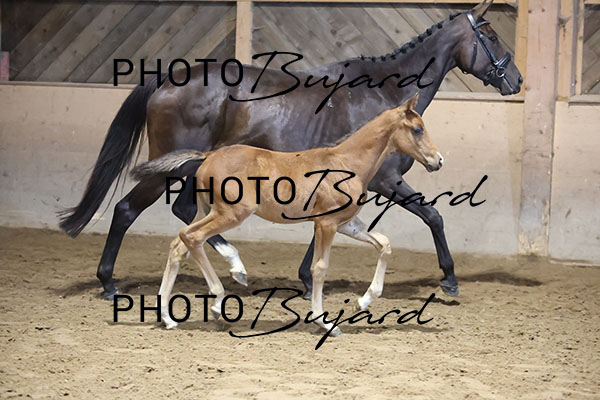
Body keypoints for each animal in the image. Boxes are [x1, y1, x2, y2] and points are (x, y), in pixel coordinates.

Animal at [58, 0, 522, 300]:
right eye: (491, 35)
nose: (516, 80)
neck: (383, 95)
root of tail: (168, 78)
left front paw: (304, 279)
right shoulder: (388, 180)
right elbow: (434, 216)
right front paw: (450, 279)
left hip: (193, 169)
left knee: (184, 213)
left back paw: (231, 266)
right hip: (169, 168)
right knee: (127, 211)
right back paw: (110, 283)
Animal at [131, 94, 443, 334]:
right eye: (417, 129)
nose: (438, 160)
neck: (346, 163)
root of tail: (208, 156)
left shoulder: (347, 223)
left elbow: (384, 244)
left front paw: (363, 301)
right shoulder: (326, 224)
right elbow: (320, 269)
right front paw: (324, 323)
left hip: (208, 211)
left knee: (178, 244)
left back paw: (168, 318)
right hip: (230, 214)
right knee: (191, 237)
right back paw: (219, 302)